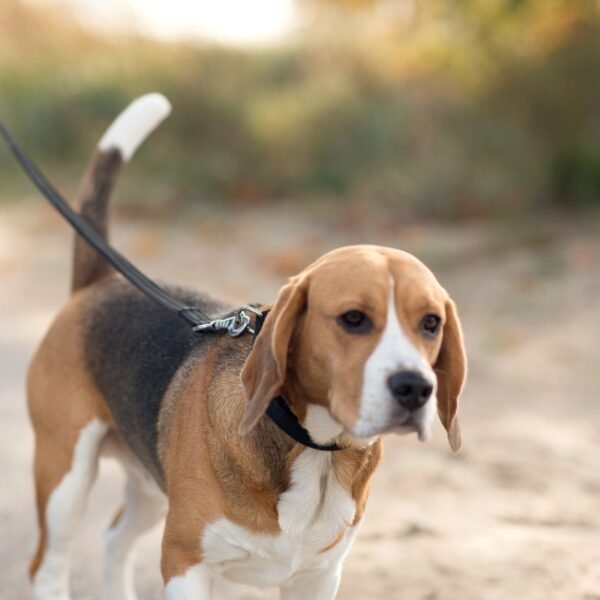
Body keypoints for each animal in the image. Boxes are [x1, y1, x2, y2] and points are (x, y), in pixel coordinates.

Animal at [27, 94, 468, 600]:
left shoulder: (319, 577)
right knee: (48, 566)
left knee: (114, 538)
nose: (415, 388)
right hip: (65, 478)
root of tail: (99, 284)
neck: (315, 451)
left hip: (149, 484)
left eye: (431, 323)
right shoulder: (186, 563)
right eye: (353, 318)